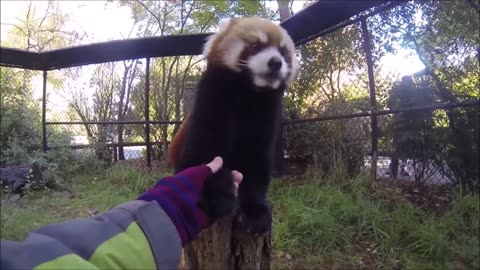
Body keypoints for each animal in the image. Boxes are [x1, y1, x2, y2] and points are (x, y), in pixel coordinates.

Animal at [168, 17, 296, 234]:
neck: (248, 95)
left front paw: (255, 211)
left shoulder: (266, 119)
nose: (276, 62)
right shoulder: (211, 104)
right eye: (255, 46)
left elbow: (257, 165)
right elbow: (200, 156)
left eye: (283, 51)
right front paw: (217, 193)